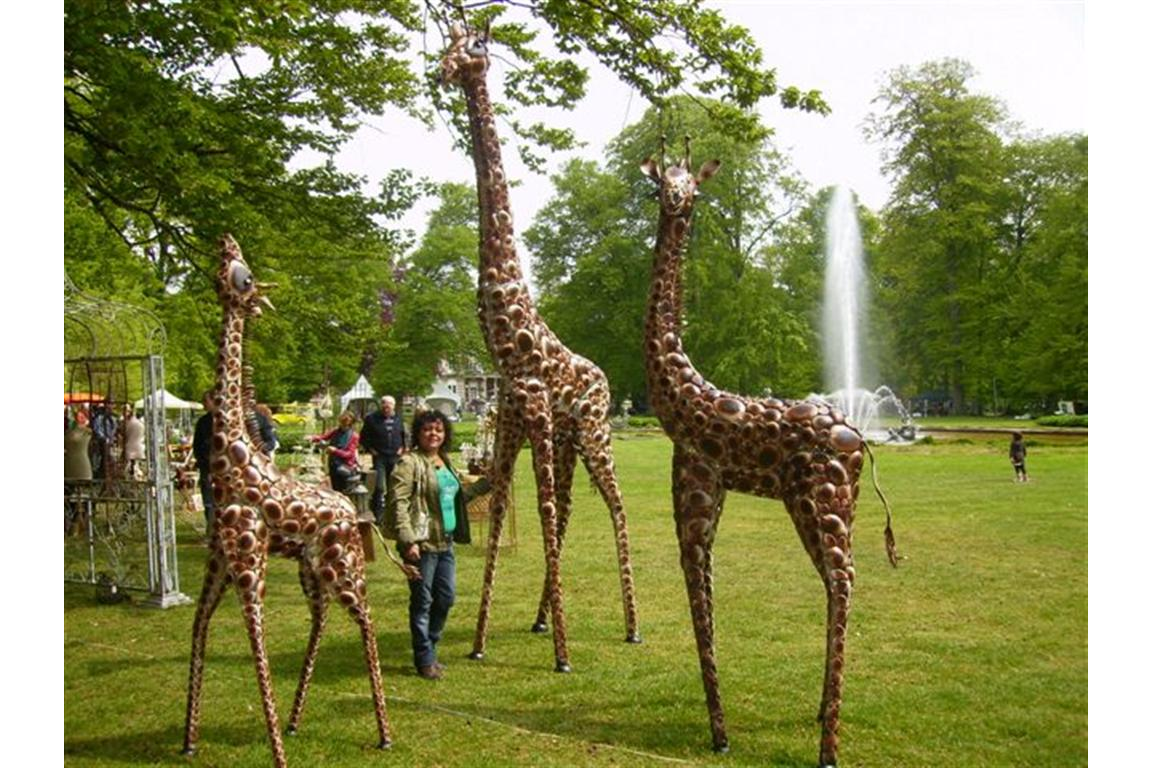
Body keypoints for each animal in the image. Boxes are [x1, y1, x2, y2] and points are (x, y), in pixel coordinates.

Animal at [182, 235, 391, 768]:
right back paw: (297, 720)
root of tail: (349, 508)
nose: (225, 248)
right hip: (310, 568)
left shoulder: (248, 558)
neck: (232, 461)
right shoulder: (220, 558)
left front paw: (275, 754)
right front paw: (188, 740)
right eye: (228, 271)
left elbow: (255, 639)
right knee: (321, 619)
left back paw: (385, 734)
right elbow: (198, 625)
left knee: (367, 619)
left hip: (343, 566)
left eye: (245, 276)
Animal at [438, 23, 640, 672]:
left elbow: (543, 513)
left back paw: (631, 627)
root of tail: (604, 378)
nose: (442, 70)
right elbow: (503, 507)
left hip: (595, 435)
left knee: (615, 505)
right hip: (571, 439)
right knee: (575, 509)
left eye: (474, 50)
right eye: (448, 47)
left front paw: (563, 657)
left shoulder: (531, 411)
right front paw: (478, 642)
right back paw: (541, 617)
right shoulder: (509, 419)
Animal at [641, 140, 897, 767]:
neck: (684, 395)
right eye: (661, 183)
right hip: (840, 502)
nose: (677, 202)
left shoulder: (696, 476)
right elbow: (702, 591)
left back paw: (828, 747)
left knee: (843, 577)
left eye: (693, 184)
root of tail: (860, 442)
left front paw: (720, 735)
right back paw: (822, 714)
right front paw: (720, 729)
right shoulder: (702, 483)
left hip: (817, 500)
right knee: (836, 582)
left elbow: (697, 588)